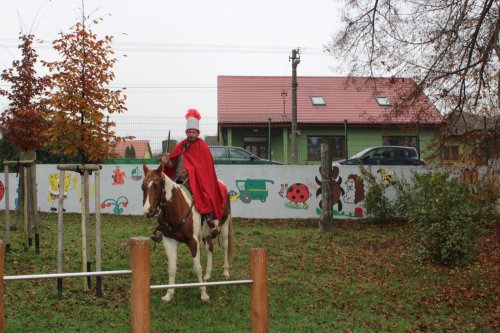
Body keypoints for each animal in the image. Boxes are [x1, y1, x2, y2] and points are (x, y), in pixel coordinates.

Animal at [142, 162, 233, 302]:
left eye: (156, 186)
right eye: (143, 187)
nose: (147, 211)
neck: (176, 208)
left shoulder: (193, 241)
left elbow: (197, 268)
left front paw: (203, 294)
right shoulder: (169, 240)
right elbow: (171, 268)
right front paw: (169, 293)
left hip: (224, 226)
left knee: (225, 247)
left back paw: (226, 272)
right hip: (206, 233)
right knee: (210, 247)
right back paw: (207, 274)